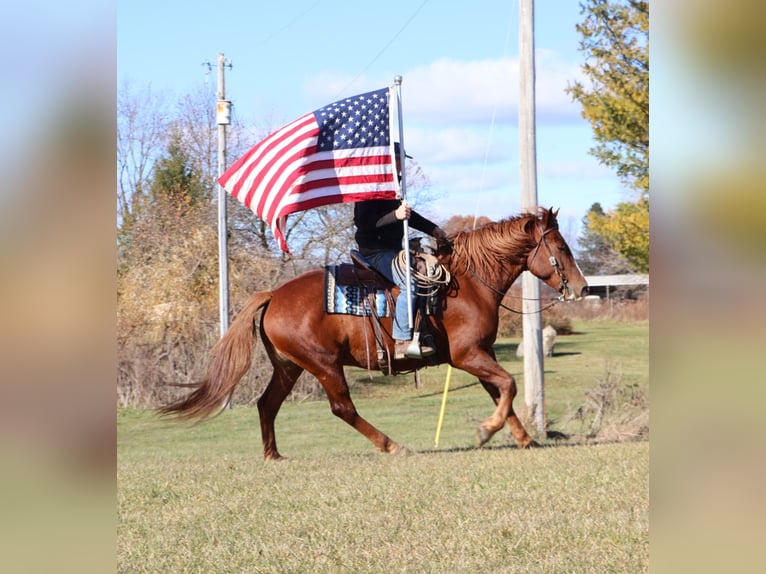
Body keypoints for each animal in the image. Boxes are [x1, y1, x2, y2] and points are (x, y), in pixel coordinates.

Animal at [159, 207, 588, 459]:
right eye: (560, 247)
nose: (583, 288)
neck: (468, 282)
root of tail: (273, 294)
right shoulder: (468, 355)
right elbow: (509, 385)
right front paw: (486, 431)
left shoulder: (483, 353)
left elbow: (502, 391)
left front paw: (523, 439)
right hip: (324, 365)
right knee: (342, 408)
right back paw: (391, 445)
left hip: (289, 366)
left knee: (268, 404)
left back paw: (273, 455)